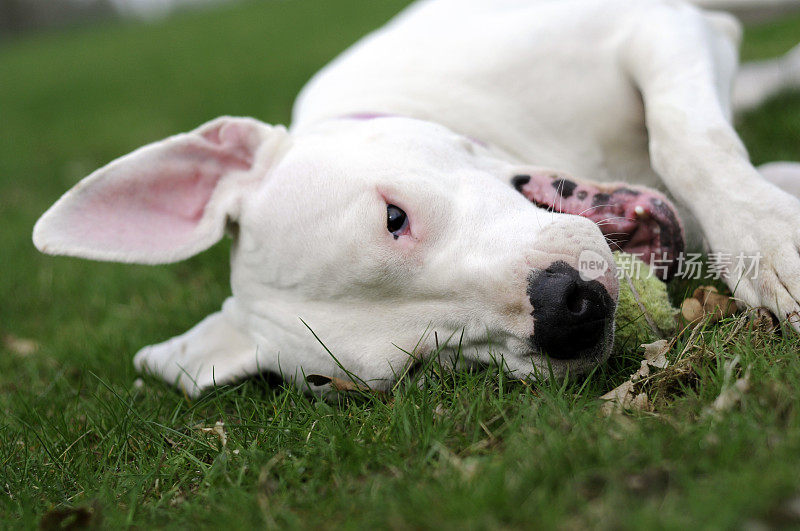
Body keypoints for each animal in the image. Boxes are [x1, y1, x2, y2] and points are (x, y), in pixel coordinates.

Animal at [34, 0, 800, 394]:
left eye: (393, 216)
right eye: (419, 365)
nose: (566, 313)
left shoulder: (653, 26)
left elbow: (684, 136)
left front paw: (769, 240)